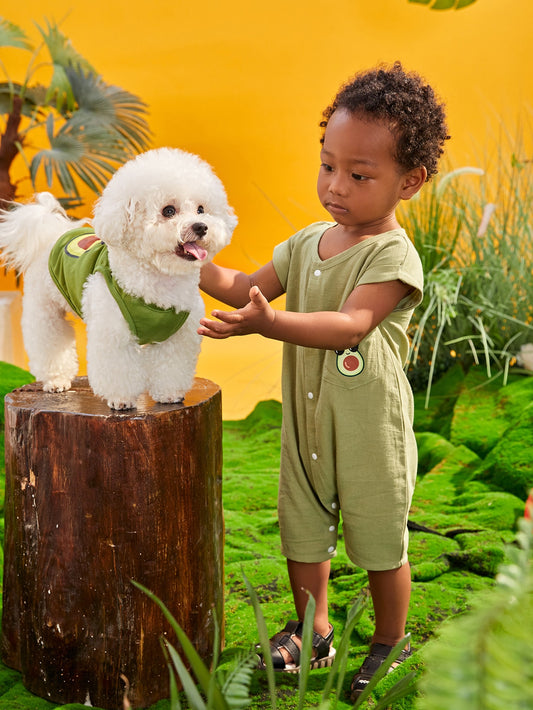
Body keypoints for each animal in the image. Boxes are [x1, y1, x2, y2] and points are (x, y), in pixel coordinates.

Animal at [0, 147, 235, 408]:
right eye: (169, 211)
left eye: (201, 209)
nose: (201, 226)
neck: (159, 283)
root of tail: (52, 231)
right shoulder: (113, 334)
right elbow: (118, 369)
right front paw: (121, 400)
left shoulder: (177, 337)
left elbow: (170, 367)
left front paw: (169, 394)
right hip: (45, 310)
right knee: (49, 342)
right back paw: (55, 380)